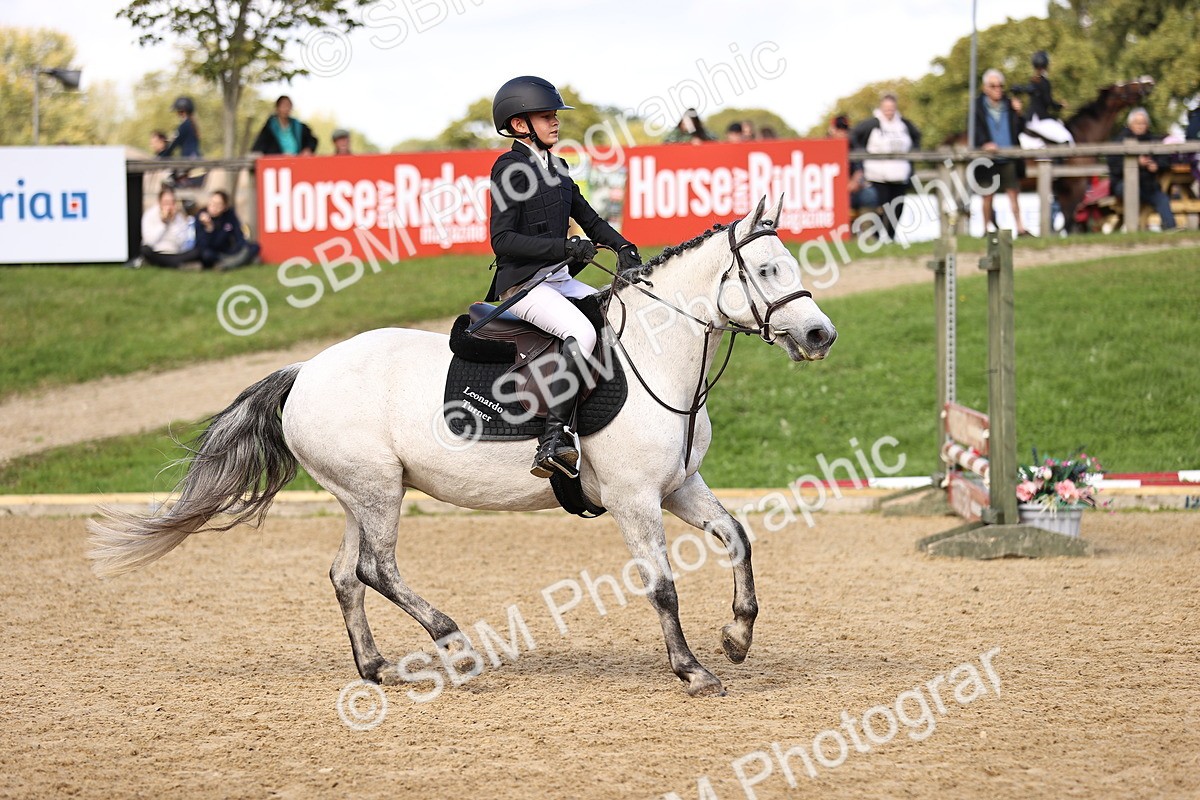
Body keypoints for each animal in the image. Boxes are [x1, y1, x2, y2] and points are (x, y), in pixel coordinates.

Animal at [87, 195, 838, 698]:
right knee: (377, 570)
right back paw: (456, 646)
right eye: (766, 271)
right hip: (377, 492)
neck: (659, 351)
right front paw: (693, 669)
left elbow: (737, 538)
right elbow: (662, 586)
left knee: (345, 575)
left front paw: (737, 637)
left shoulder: (679, 487)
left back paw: (376, 665)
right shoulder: (633, 499)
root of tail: (306, 370)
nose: (820, 335)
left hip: (362, 494)